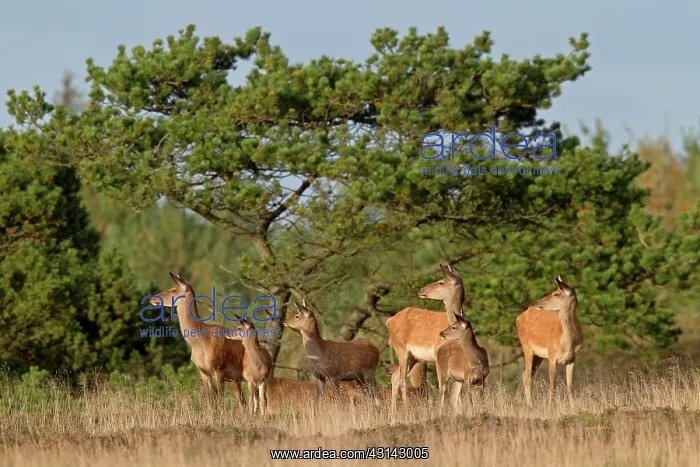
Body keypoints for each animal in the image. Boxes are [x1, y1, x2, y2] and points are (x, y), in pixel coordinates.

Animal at [149, 272, 246, 410]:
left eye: (173, 289)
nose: (152, 299)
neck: (201, 342)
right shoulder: (203, 372)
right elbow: (210, 403)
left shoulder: (219, 369)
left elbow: (220, 403)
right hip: (235, 379)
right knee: (242, 403)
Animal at [385, 263, 465, 410]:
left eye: (441, 282)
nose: (421, 290)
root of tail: (389, 321)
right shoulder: (438, 355)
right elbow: (443, 386)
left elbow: (459, 387)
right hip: (401, 349)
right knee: (402, 380)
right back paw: (406, 410)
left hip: (414, 357)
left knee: (395, 377)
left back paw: (393, 414)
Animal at [516, 275, 583, 407]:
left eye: (556, 294)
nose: (536, 302)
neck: (567, 343)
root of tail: (519, 317)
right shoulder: (552, 356)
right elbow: (553, 386)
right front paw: (550, 406)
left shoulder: (572, 359)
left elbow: (570, 387)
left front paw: (573, 408)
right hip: (526, 346)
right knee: (527, 376)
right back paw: (530, 405)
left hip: (538, 355)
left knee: (526, 373)